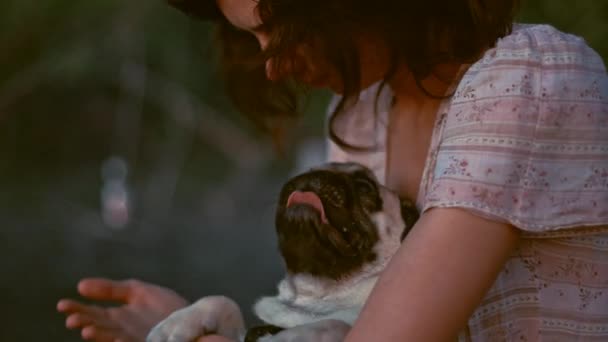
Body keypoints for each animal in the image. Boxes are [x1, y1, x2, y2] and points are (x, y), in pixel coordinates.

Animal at [148, 162, 420, 342]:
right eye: (311, 169)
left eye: (365, 188)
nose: (313, 175)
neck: (318, 299)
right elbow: (223, 301)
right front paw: (174, 325)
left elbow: (333, 325)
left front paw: (294, 337)